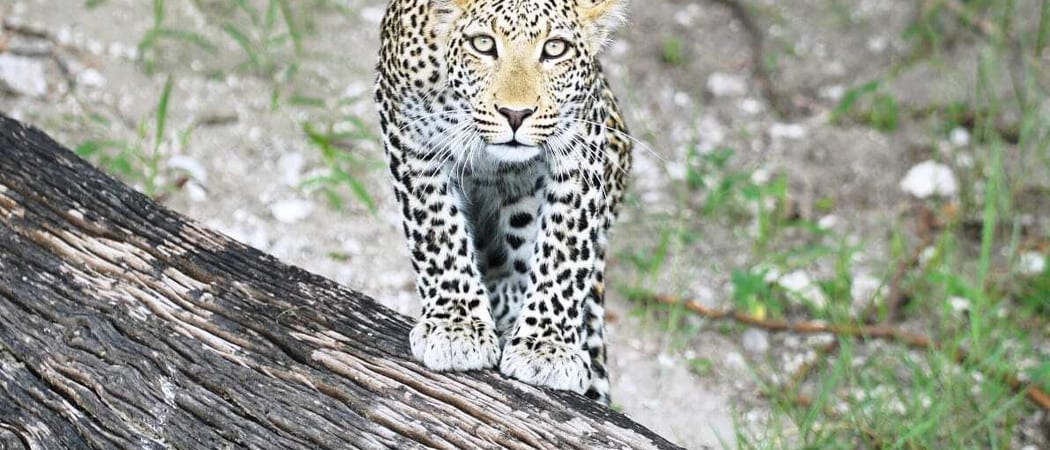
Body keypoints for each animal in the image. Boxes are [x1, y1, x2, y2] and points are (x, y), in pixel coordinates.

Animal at [375, 0, 632, 404]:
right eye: (483, 44)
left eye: (554, 49)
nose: (515, 114)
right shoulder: (408, 134)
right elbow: (436, 228)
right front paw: (455, 324)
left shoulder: (584, 142)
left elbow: (565, 249)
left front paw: (547, 346)